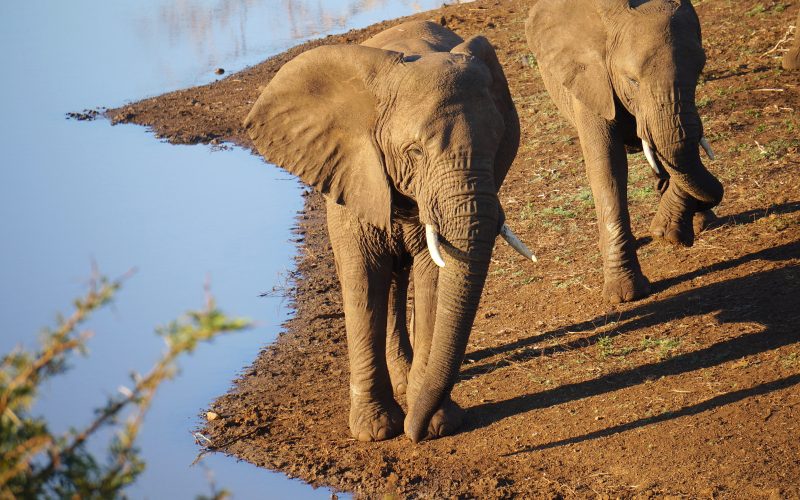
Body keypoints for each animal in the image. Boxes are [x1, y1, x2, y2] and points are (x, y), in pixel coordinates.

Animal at [244, 20, 532, 442]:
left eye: (499, 144)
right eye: (414, 151)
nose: (414, 434)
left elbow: (434, 278)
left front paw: (435, 422)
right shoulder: (350, 168)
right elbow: (364, 281)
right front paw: (376, 431)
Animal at [524, 0, 724, 304]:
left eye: (700, 70)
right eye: (632, 80)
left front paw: (667, 233)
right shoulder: (591, 78)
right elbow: (607, 169)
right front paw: (625, 295)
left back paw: (703, 223)